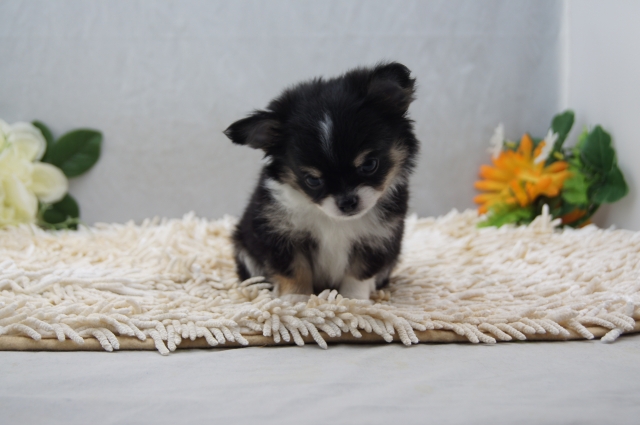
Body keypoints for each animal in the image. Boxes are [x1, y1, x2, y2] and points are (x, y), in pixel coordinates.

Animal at [224, 62, 419, 302]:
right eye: (312, 180)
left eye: (369, 165)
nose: (347, 202)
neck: (334, 220)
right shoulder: (281, 234)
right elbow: (294, 270)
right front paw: (295, 299)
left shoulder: (378, 238)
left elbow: (359, 273)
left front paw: (353, 301)